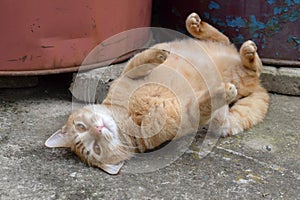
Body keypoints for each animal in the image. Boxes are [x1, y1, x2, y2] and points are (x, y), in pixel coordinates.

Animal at [45, 13, 270, 174]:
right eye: (96, 148)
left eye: (81, 127)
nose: (98, 129)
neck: (129, 114)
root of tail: (258, 86)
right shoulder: (187, 114)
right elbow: (204, 103)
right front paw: (223, 91)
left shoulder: (129, 72)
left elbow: (141, 60)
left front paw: (159, 54)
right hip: (233, 100)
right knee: (251, 70)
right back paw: (244, 60)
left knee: (227, 41)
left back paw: (197, 26)